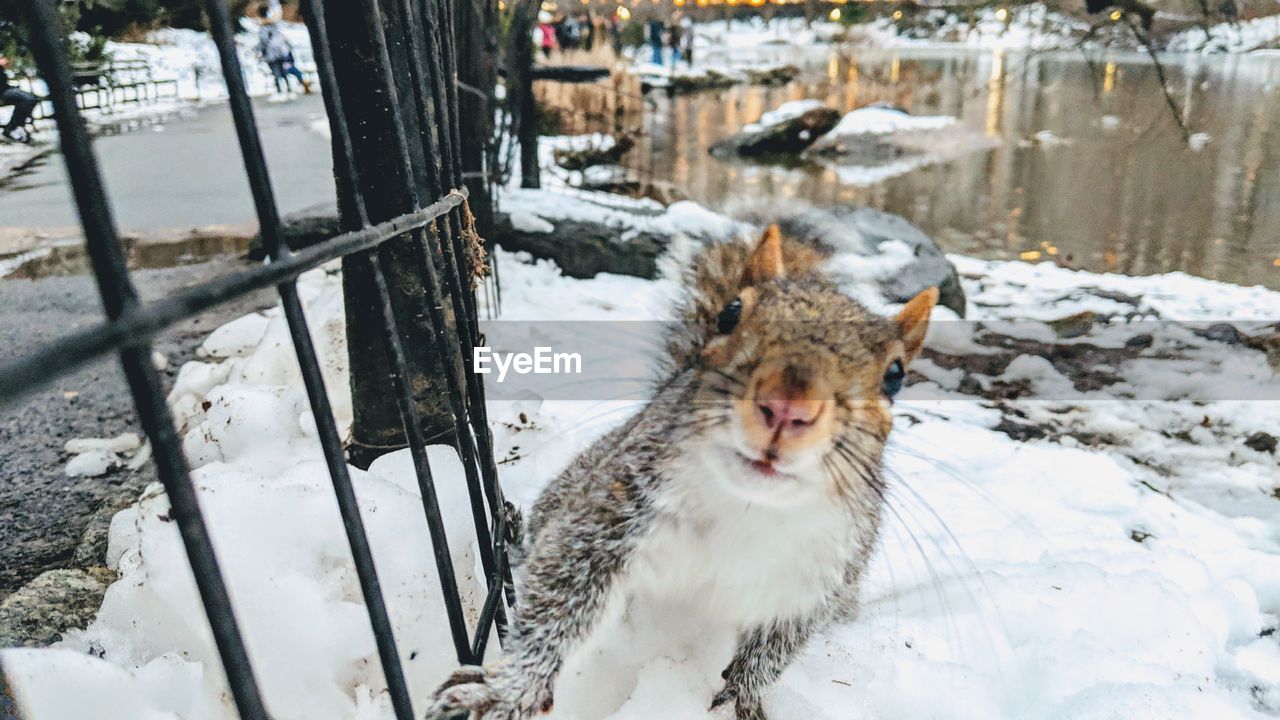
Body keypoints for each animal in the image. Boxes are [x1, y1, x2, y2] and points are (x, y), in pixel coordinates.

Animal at [424, 221, 936, 712]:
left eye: (895, 376)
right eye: (731, 313)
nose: (788, 407)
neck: (747, 506)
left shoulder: (813, 582)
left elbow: (771, 653)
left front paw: (741, 700)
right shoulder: (609, 515)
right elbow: (559, 602)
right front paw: (507, 688)